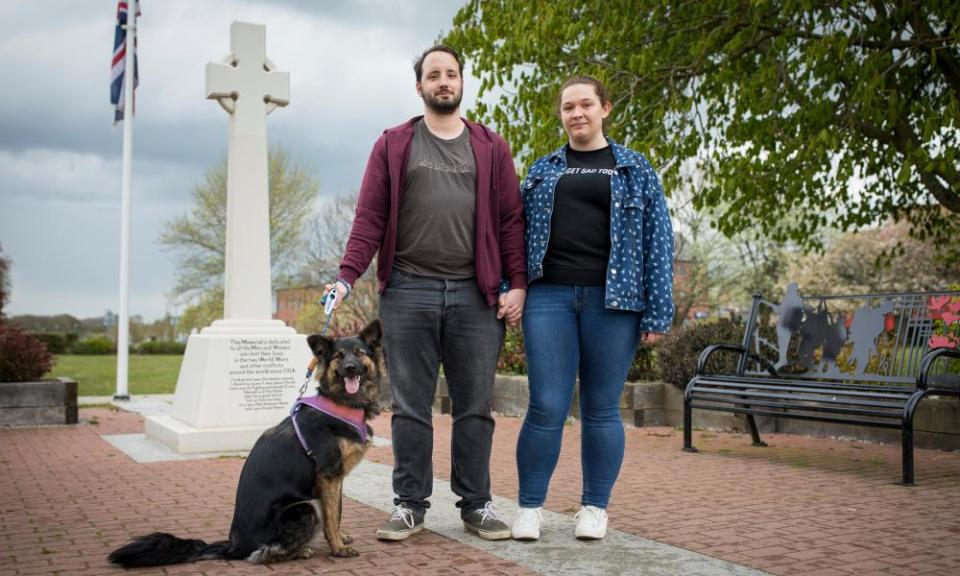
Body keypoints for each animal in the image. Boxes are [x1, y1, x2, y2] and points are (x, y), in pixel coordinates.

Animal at [108, 320, 382, 568]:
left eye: (359, 353)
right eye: (338, 356)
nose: (350, 368)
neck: (339, 404)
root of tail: (233, 546)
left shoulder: (335, 477)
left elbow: (337, 510)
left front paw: (341, 537)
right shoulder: (329, 473)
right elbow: (332, 515)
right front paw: (338, 547)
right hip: (305, 507)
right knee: (263, 554)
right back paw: (299, 551)